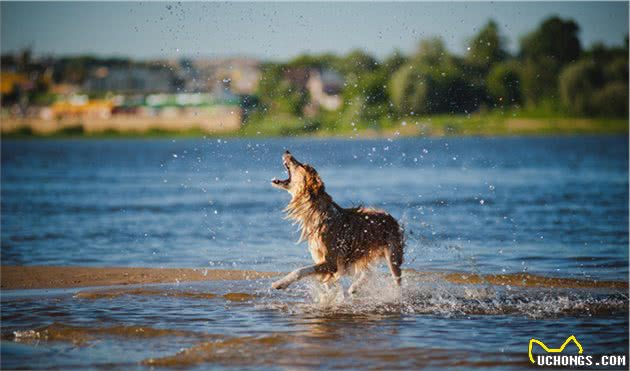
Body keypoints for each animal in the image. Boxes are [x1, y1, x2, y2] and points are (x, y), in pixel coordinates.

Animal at [272, 150, 404, 294]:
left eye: (302, 165)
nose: (287, 151)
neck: (316, 212)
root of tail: (391, 217)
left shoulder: (331, 261)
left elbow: (300, 270)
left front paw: (280, 283)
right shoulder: (321, 257)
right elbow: (328, 284)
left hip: (392, 254)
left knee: (396, 278)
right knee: (368, 272)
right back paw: (354, 287)